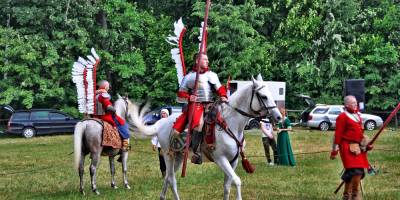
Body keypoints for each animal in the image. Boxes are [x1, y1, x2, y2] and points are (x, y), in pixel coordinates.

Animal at [129, 75, 282, 200]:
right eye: (263, 96)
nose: (279, 117)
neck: (231, 124)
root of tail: (160, 123)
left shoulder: (233, 161)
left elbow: (227, 187)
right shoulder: (221, 159)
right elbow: (237, 181)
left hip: (178, 157)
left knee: (167, 178)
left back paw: (162, 197)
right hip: (169, 156)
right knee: (172, 180)